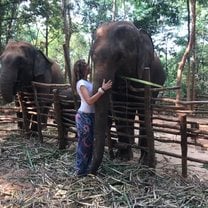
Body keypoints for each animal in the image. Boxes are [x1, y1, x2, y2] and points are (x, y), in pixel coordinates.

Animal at [89, 21, 166, 174]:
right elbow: (119, 109)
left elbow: (143, 110)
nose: (89, 171)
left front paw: (145, 162)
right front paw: (123, 158)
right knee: (128, 112)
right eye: (92, 56)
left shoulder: (146, 77)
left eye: (120, 56)